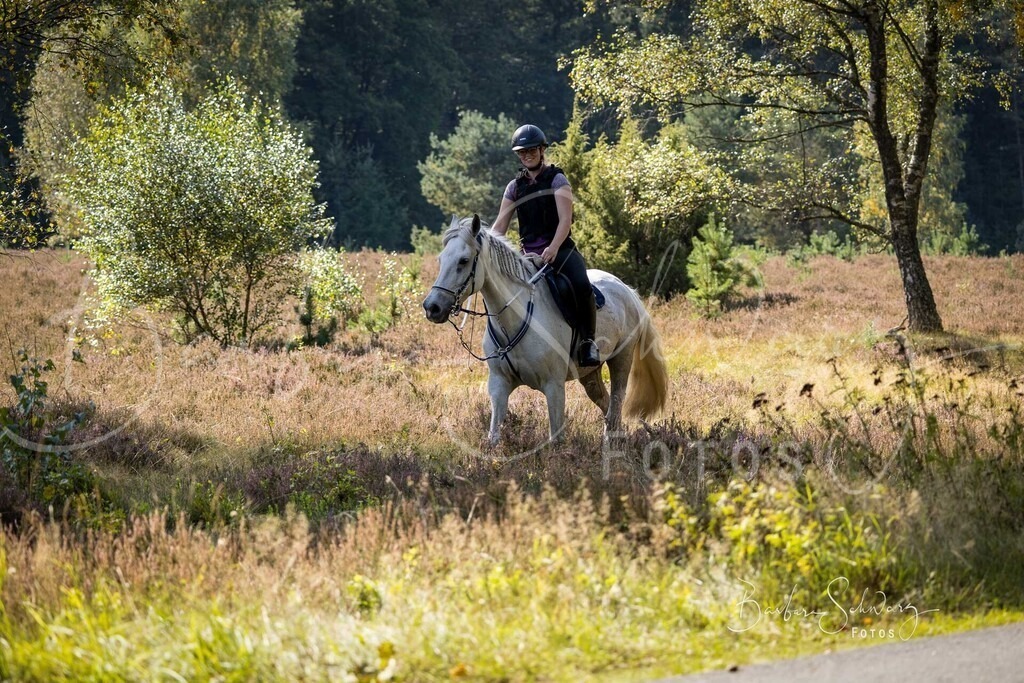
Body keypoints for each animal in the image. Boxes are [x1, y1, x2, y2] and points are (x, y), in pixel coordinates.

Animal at [422, 214, 669, 445]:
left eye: (463, 261)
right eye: (441, 259)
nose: (432, 307)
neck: (514, 318)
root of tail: (627, 289)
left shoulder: (554, 387)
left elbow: (556, 440)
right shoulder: (499, 384)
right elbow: (494, 436)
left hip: (621, 359)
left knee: (617, 401)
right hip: (590, 373)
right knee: (606, 405)